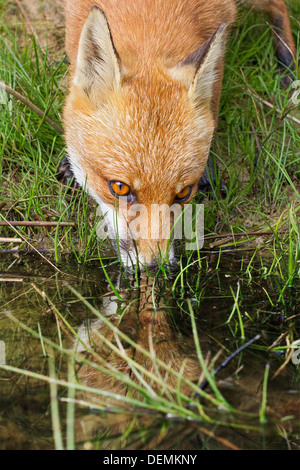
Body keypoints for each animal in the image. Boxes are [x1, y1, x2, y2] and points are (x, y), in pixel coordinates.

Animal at [61, 0, 296, 268]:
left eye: (183, 193)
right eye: (119, 188)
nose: (154, 266)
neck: (148, 13)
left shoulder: (223, 20)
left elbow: (213, 100)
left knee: (278, 7)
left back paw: (288, 64)